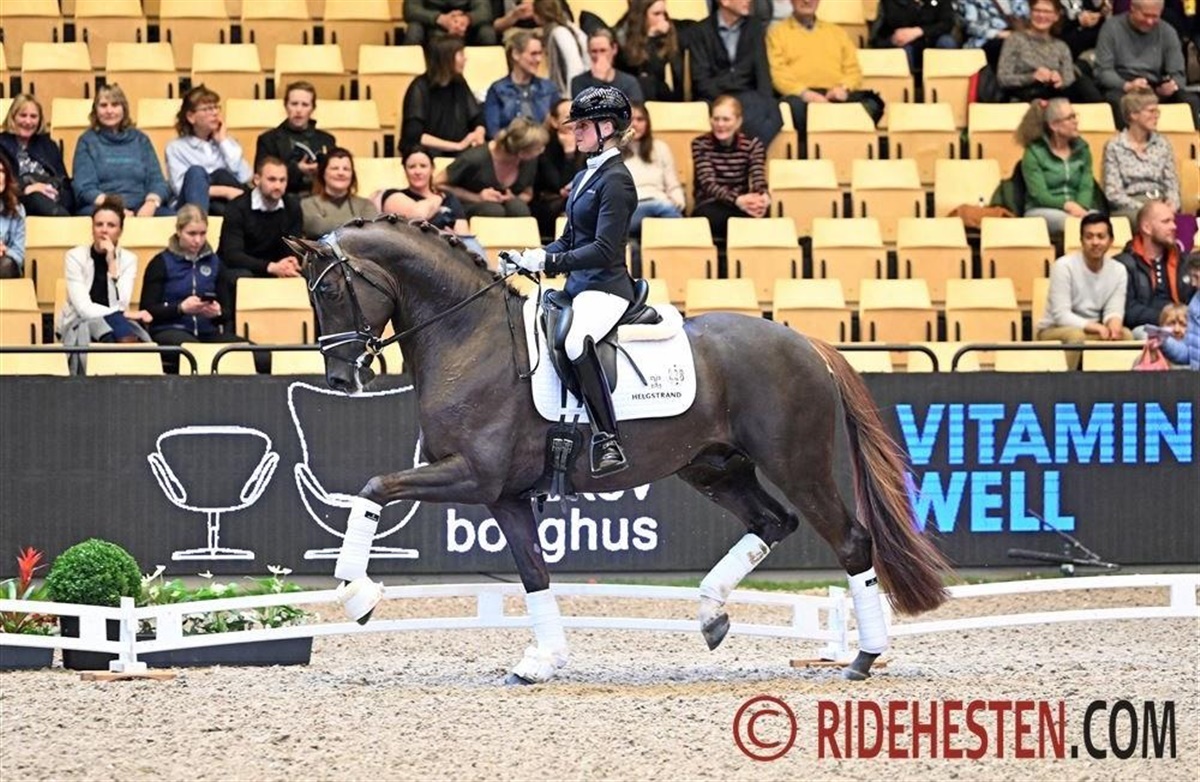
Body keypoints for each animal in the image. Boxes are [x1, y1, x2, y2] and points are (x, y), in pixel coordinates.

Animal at [291, 215, 951, 684]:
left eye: (333, 292)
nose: (340, 379)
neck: (470, 336)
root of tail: (806, 341)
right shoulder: (505, 495)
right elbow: (533, 572)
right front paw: (543, 661)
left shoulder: (473, 475)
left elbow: (375, 488)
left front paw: (357, 595)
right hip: (713, 468)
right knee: (773, 521)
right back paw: (711, 614)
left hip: (798, 464)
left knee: (850, 540)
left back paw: (862, 658)